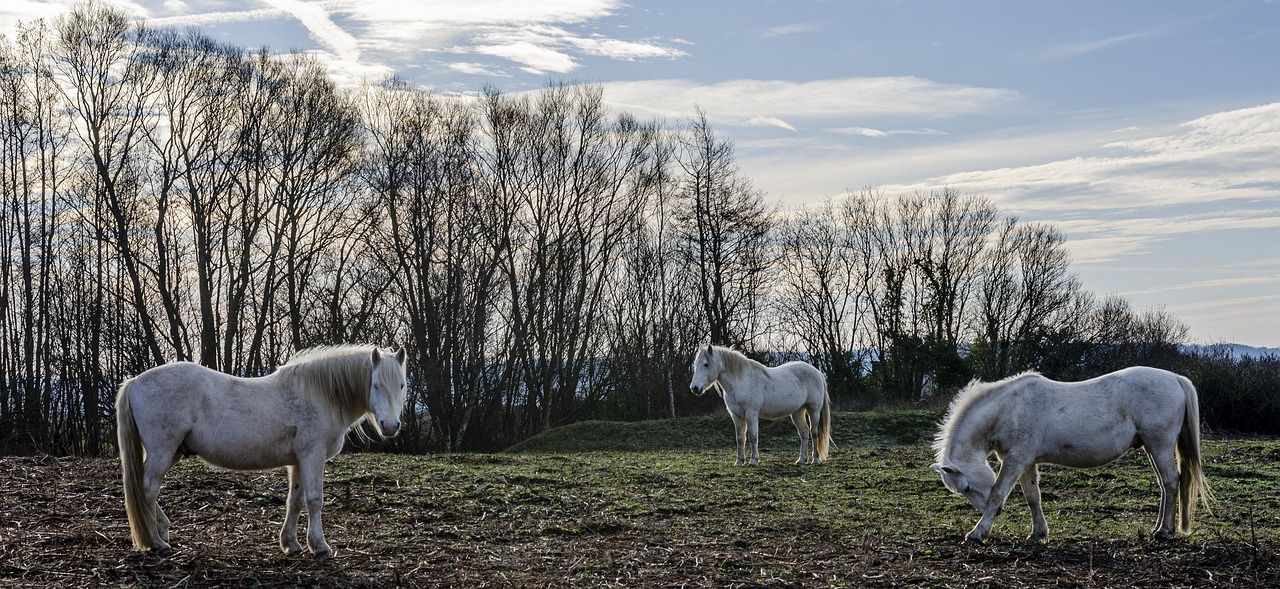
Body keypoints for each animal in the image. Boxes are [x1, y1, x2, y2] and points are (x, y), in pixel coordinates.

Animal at [115, 345, 408, 558]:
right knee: (148, 490)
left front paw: (290, 544)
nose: (390, 426)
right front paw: (320, 546)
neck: (320, 394)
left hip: (171, 451)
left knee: (145, 491)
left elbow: (295, 500)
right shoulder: (312, 456)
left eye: (402, 385)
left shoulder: (298, 461)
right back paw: (156, 542)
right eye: (376, 384)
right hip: (162, 451)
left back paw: (162, 531)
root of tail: (135, 381)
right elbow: (315, 500)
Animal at [689, 344, 831, 466]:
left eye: (706, 364)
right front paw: (739, 461)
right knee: (804, 433)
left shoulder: (751, 414)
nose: (694, 388)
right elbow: (740, 438)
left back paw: (815, 460)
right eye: (695, 364)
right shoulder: (736, 416)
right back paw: (801, 460)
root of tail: (818, 373)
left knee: (814, 433)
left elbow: (753, 436)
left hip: (814, 410)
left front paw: (753, 461)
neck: (742, 381)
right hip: (797, 412)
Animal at [930, 366, 1212, 544]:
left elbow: (998, 492)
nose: (999, 513)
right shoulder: (1026, 462)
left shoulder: (1015, 460)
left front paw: (977, 533)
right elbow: (1033, 497)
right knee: (1166, 485)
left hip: (1160, 444)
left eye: (966, 488)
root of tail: (1175, 378)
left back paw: (1164, 532)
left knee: (1171, 482)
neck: (1008, 408)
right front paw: (1038, 534)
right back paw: (1159, 528)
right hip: (1152, 447)